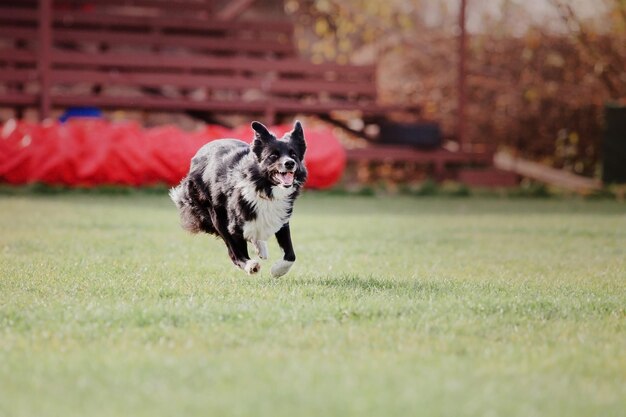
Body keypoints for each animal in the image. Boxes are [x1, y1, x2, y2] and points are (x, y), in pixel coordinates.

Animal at [169, 120, 306, 276]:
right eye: (273, 156)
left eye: (293, 154)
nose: (289, 163)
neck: (263, 187)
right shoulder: (233, 224)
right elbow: (236, 248)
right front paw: (251, 265)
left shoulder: (282, 218)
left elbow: (291, 255)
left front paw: (278, 270)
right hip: (215, 214)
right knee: (232, 249)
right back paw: (249, 261)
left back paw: (261, 248)